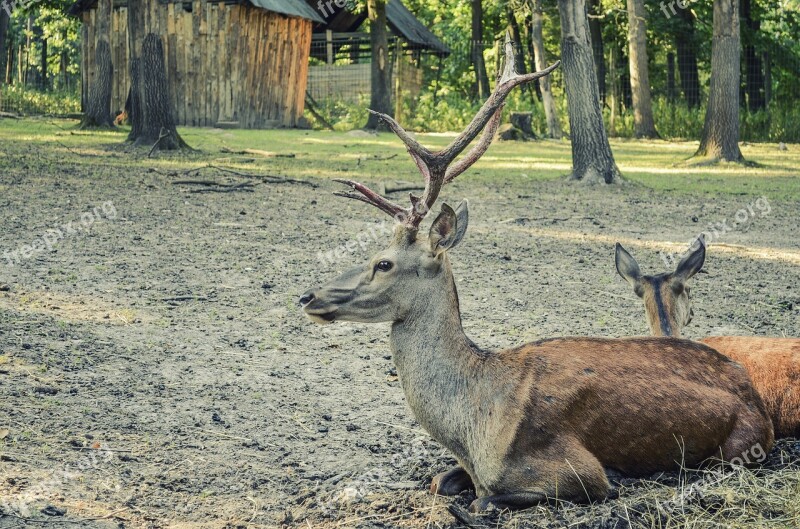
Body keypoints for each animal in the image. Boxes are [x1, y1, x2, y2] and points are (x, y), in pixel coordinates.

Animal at [298, 39, 776, 510]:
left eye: (383, 263)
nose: (307, 296)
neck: (473, 428)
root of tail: (753, 392)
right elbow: (439, 482)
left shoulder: (577, 469)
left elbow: (486, 499)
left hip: (741, 445)